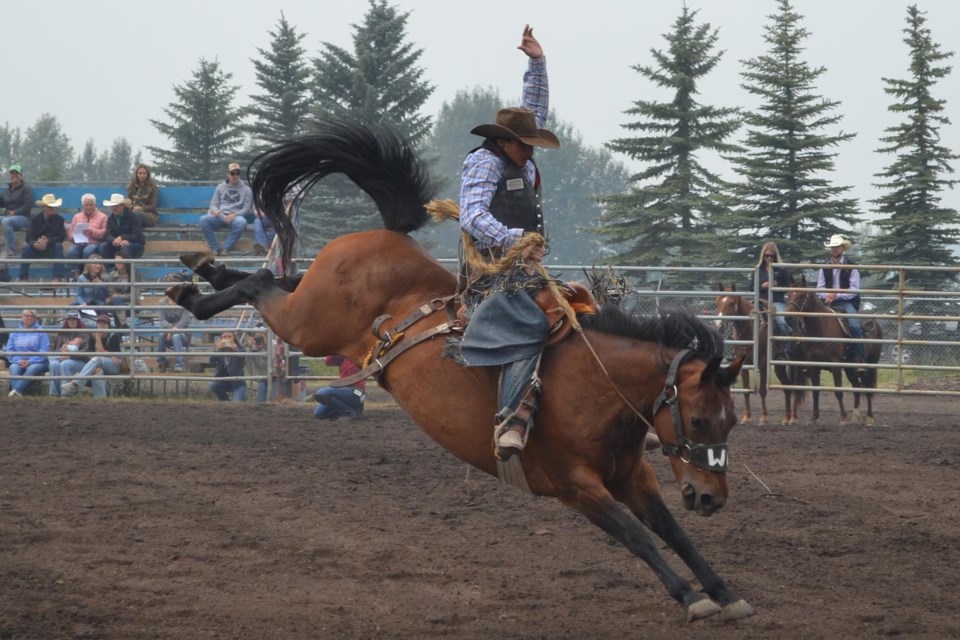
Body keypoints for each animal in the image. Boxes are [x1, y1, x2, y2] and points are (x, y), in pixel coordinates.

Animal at [165, 117, 752, 624]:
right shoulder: (577, 486)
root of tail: (381, 236)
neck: (597, 386)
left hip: (306, 304)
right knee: (263, 285)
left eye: (732, 422)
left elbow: (673, 530)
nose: (713, 498)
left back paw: (205, 270)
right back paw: (192, 292)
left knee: (272, 277)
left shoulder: (633, 475)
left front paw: (724, 591)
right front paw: (690, 597)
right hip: (309, 324)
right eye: (701, 421)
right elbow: (638, 537)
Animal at [784, 274, 880, 424]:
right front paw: (814, 417)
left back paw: (869, 417)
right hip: (850, 369)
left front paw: (843, 417)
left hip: (871, 365)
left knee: (868, 389)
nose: (788, 317)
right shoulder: (812, 366)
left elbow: (838, 392)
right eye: (788, 294)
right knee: (857, 387)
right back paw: (855, 416)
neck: (820, 328)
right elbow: (815, 391)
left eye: (802, 295)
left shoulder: (835, 365)